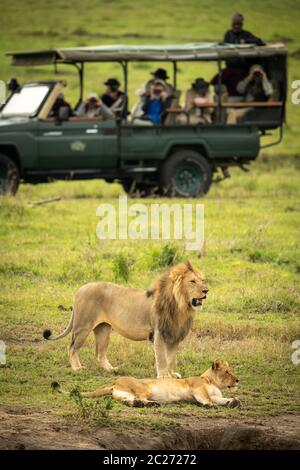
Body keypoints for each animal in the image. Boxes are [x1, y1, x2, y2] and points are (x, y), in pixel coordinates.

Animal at [43, 260, 207, 378]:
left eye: (202, 280)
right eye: (193, 281)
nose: (206, 290)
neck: (181, 307)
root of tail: (79, 289)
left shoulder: (175, 336)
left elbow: (171, 359)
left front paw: (171, 374)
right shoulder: (159, 333)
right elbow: (162, 358)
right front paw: (164, 376)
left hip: (103, 330)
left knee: (99, 354)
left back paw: (111, 370)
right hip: (82, 327)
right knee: (71, 347)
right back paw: (77, 368)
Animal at [51, 360, 239, 408]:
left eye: (232, 370)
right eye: (227, 372)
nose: (238, 380)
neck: (212, 381)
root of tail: (115, 381)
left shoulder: (213, 394)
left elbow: (221, 399)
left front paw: (233, 402)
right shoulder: (197, 388)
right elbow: (207, 399)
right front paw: (210, 405)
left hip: (123, 394)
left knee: (128, 401)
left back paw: (138, 404)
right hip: (144, 388)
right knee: (142, 397)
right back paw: (152, 404)